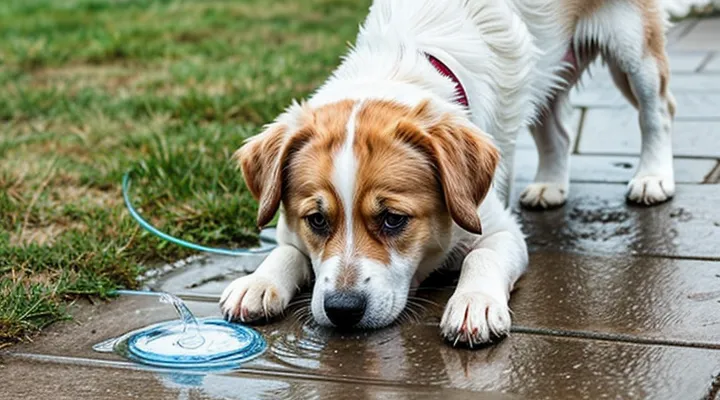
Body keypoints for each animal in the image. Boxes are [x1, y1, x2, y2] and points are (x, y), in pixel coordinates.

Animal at [219, 0, 676, 346]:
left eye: (393, 219)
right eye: (316, 220)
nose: (342, 310)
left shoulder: (500, 230)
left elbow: (482, 255)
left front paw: (473, 302)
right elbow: (287, 250)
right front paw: (258, 281)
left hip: (633, 47)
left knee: (657, 112)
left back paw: (653, 177)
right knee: (558, 134)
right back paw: (550, 185)